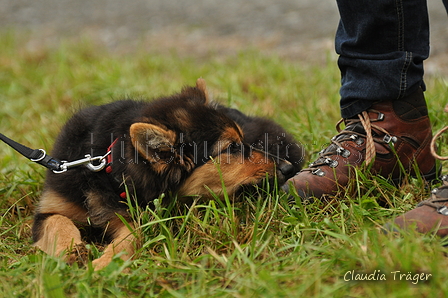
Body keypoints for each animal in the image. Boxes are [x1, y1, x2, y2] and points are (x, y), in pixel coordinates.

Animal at [32, 78, 304, 268]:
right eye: (232, 148)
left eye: (242, 142)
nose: (287, 168)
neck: (107, 168)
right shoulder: (50, 210)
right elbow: (59, 223)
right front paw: (71, 252)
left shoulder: (134, 219)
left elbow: (130, 238)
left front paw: (104, 264)